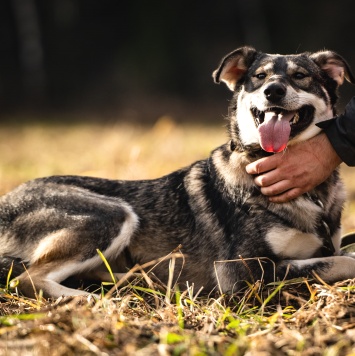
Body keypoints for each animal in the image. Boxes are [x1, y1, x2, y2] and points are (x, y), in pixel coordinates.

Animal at [0, 46, 355, 298]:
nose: (273, 91)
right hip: (112, 214)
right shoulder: (240, 272)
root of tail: (7, 202)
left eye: (300, 76)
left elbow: (337, 254)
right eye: (259, 77)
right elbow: (335, 261)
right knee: (28, 279)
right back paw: (91, 299)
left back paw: (134, 282)